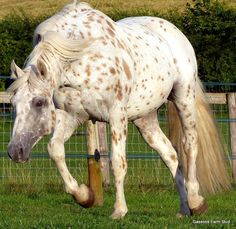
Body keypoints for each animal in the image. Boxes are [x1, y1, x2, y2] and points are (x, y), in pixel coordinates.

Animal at [7, 0, 230, 219]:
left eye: (39, 102)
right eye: (13, 103)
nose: (15, 151)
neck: (81, 57)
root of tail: (173, 30)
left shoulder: (116, 115)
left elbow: (118, 162)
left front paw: (119, 209)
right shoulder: (72, 115)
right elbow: (55, 149)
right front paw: (84, 196)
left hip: (184, 98)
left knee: (189, 145)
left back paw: (195, 201)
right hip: (145, 118)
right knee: (170, 154)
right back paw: (184, 209)